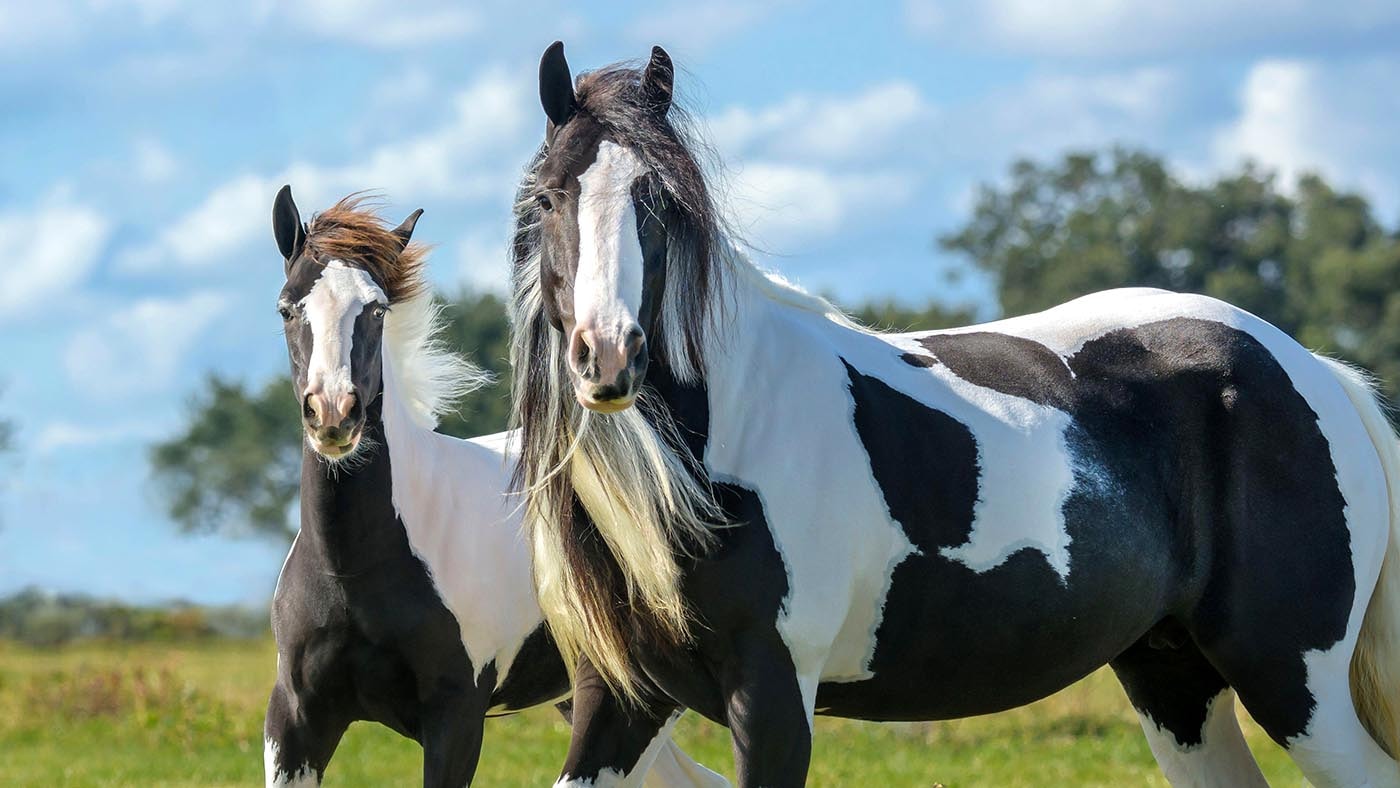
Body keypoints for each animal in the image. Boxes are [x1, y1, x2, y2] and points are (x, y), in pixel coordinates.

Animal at [263, 186, 728, 788]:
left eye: (377, 309)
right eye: (287, 306)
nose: (333, 414)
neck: (353, 569)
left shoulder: (456, 717)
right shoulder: (296, 719)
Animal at [509, 43, 1400, 788]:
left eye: (658, 203)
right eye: (550, 198)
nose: (608, 358)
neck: (724, 443)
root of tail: (1313, 369)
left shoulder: (773, 695)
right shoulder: (618, 700)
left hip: (1293, 682)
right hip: (1174, 680)